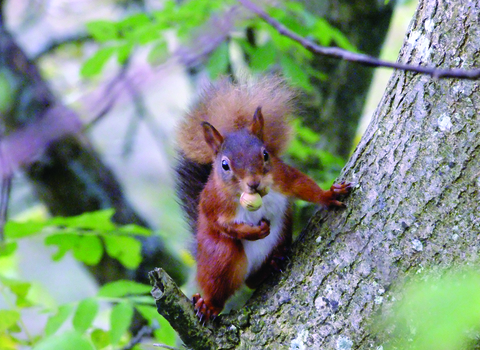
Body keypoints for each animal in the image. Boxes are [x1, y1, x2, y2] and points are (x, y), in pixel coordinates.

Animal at [174, 76, 350, 322]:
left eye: (265, 154)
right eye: (225, 165)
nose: (254, 183)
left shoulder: (283, 176)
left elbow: (305, 187)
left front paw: (329, 194)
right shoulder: (212, 202)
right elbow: (220, 223)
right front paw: (254, 232)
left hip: (282, 231)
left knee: (253, 279)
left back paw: (272, 264)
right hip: (219, 257)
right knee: (223, 283)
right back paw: (208, 305)